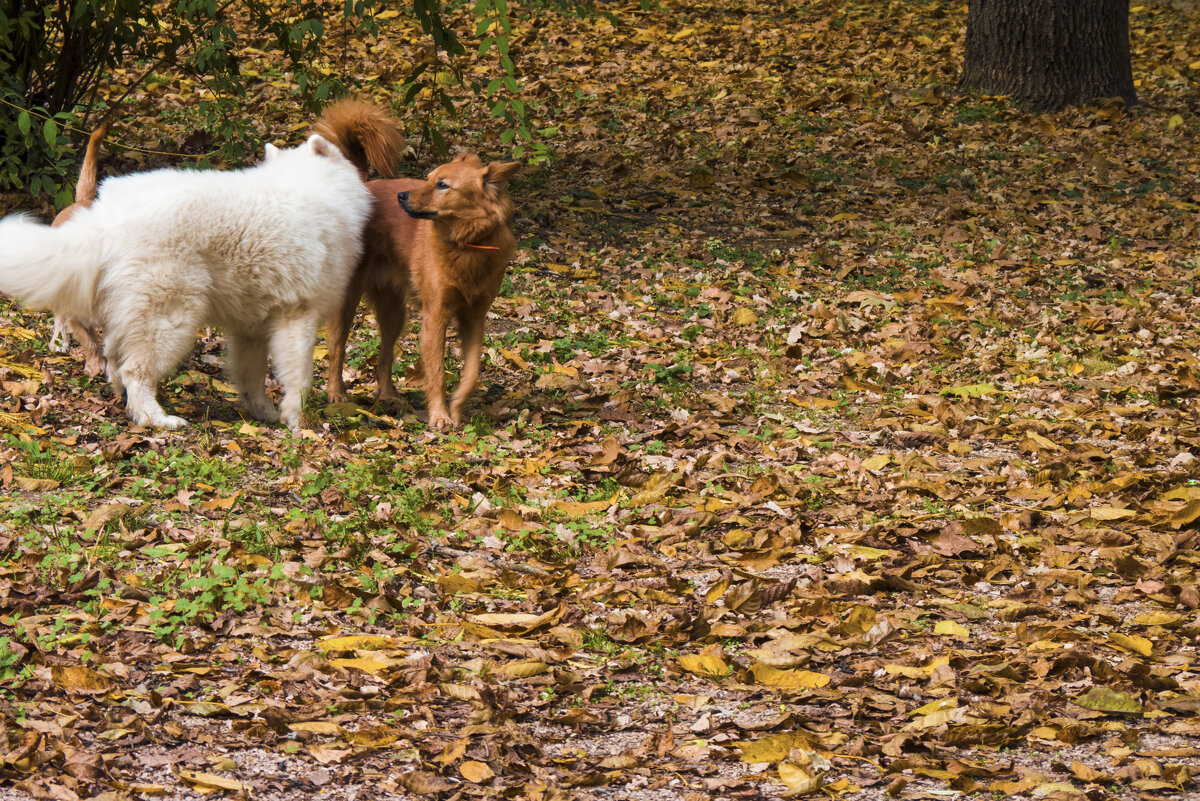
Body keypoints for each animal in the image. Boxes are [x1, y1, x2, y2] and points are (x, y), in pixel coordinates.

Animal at [0, 134, 369, 431]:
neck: (318, 191)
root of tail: (105, 220)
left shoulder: (251, 330)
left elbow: (251, 379)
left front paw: (265, 413)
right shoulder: (298, 318)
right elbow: (300, 378)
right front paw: (298, 422)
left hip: (133, 314)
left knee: (114, 361)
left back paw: (127, 403)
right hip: (169, 319)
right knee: (135, 372)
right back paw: (158, 419)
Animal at [326, 155, 518, 431]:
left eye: (443, 185)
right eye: (428, 179)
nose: (401, 196)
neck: (467, 246)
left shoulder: (474, 318)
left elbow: (471, 372)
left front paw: (456, 406)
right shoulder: (435, 317)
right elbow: (436, 372)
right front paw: (439, 415)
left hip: (394, 312)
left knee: (384, 357)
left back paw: (388, 395)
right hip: (348, 301)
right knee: (337, 347)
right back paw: (335, 392)